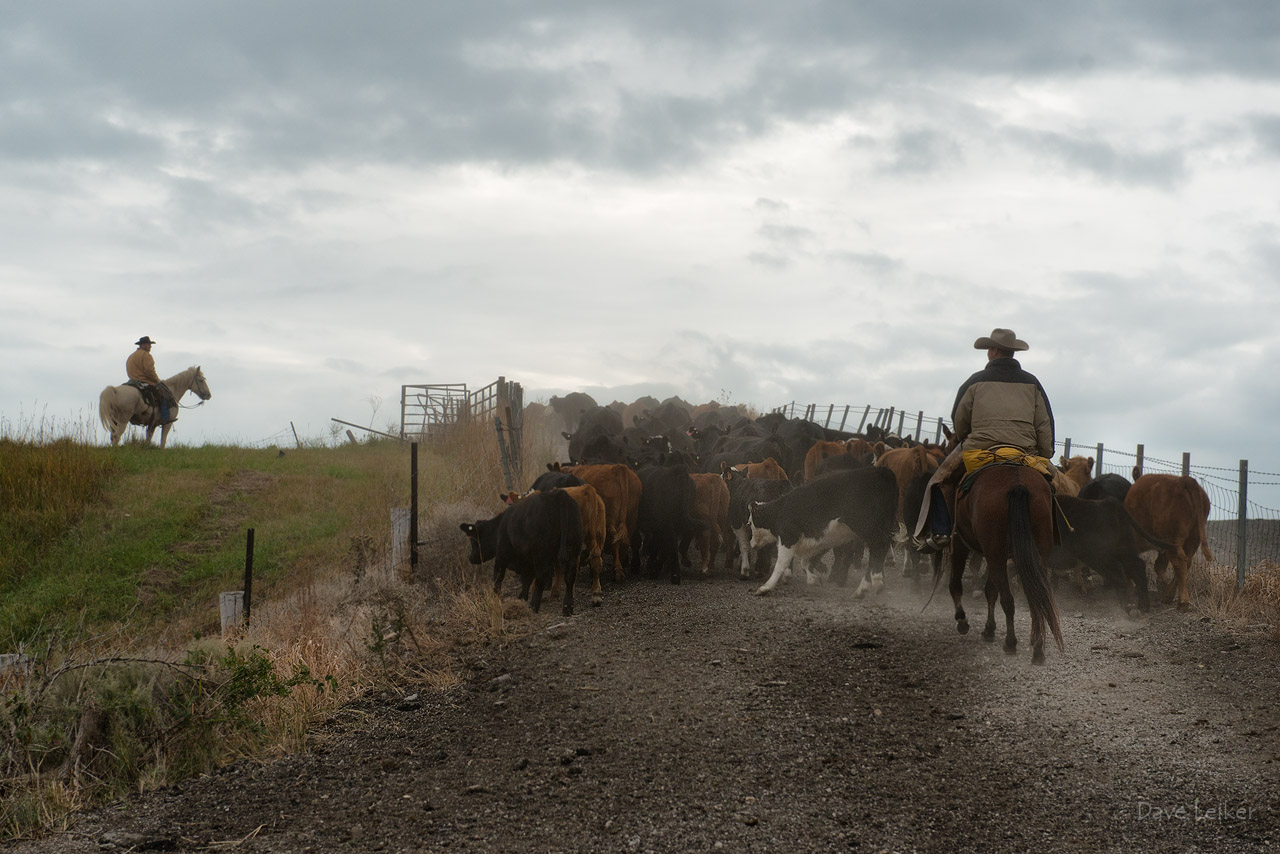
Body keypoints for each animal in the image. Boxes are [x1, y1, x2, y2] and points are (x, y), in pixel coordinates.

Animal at [458, 486, 583, 614]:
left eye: (473, 540)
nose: (471, 558)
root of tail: (559, 494)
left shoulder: (502, 554)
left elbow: (499, 576)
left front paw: (495, 596)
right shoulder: (526, 559)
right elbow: (526, 578)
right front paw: (522, 597)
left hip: (541, 555)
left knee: (541, 576)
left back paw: (534, 605)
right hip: (573, 550)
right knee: (570, 576)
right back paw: (567, 607)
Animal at [747, 463, 896, 599]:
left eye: (750, 523)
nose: (751, 543)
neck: (781, 510)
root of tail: (881, 471)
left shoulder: (788, 538)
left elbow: (782, 563)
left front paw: (765, 587)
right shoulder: (819, 541)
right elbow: (805, 562)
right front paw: (814, 580)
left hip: (866, 527)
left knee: (879, 546)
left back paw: (875, 582)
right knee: (878, 551)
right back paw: (863, 589)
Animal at [947, 463, 1064, 665]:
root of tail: (1017, 484)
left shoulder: (960, 541)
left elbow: (957, 583)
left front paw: (963, 621)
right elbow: (991, 590)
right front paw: (989, 629)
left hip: (995, 553)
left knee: (1007, 599)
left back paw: (1010, 642)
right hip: (1035, 555)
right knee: (1035, 596)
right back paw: (1037, 648)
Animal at [1126, 473, 1213, 606]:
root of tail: (1184, 481)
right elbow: (1159, 566)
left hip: (1172, 540)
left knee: (1179, 561)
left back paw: (1182, 601)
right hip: (1194, 537)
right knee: (1186, 562)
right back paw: (1168, 595)